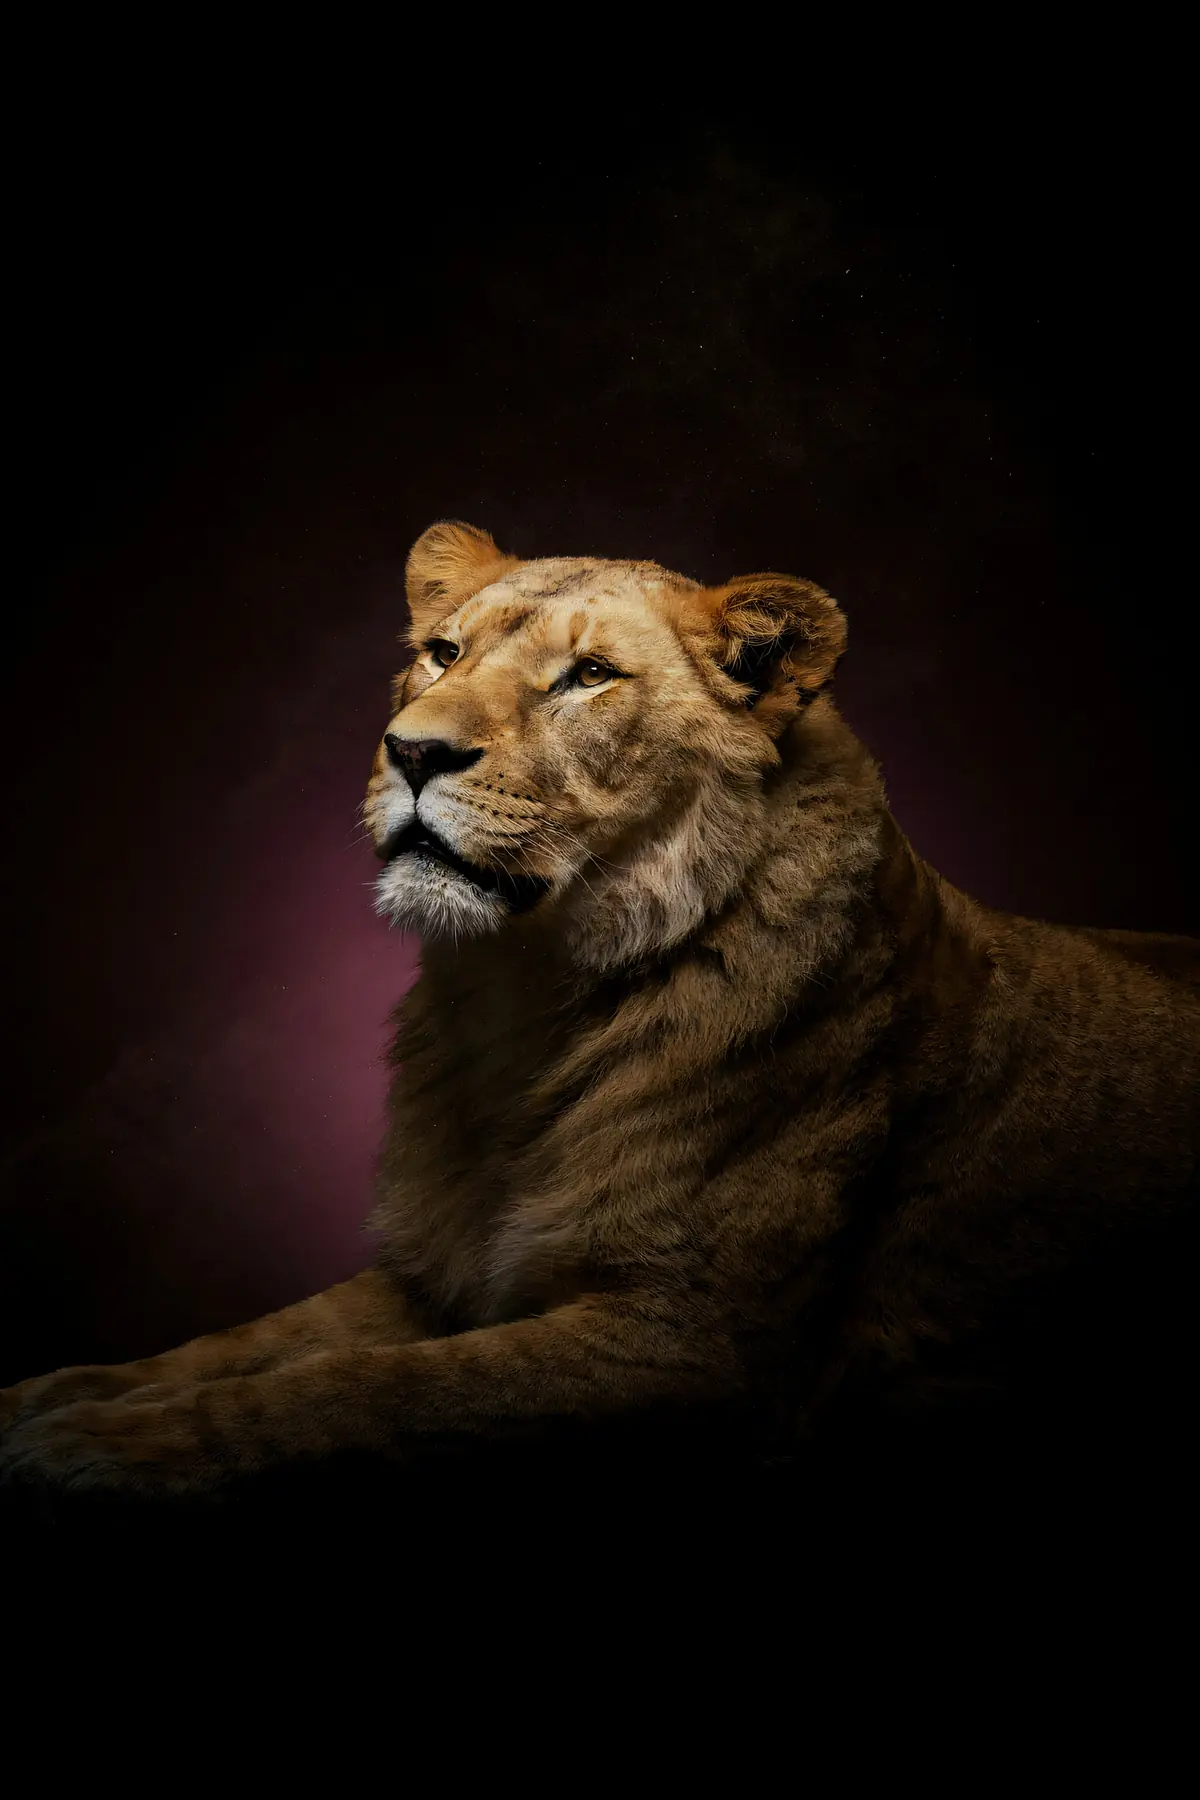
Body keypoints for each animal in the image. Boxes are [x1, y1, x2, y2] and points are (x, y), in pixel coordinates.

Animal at [1, 520, 1197, 1501]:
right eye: (444, 654)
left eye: (587, 676)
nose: (414, 751)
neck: (521, 1004)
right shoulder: (436, 1271)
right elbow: (251, 1342)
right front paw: (53, 1401)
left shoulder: (697, 1346)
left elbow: (373, 1390)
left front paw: (109, 1449)